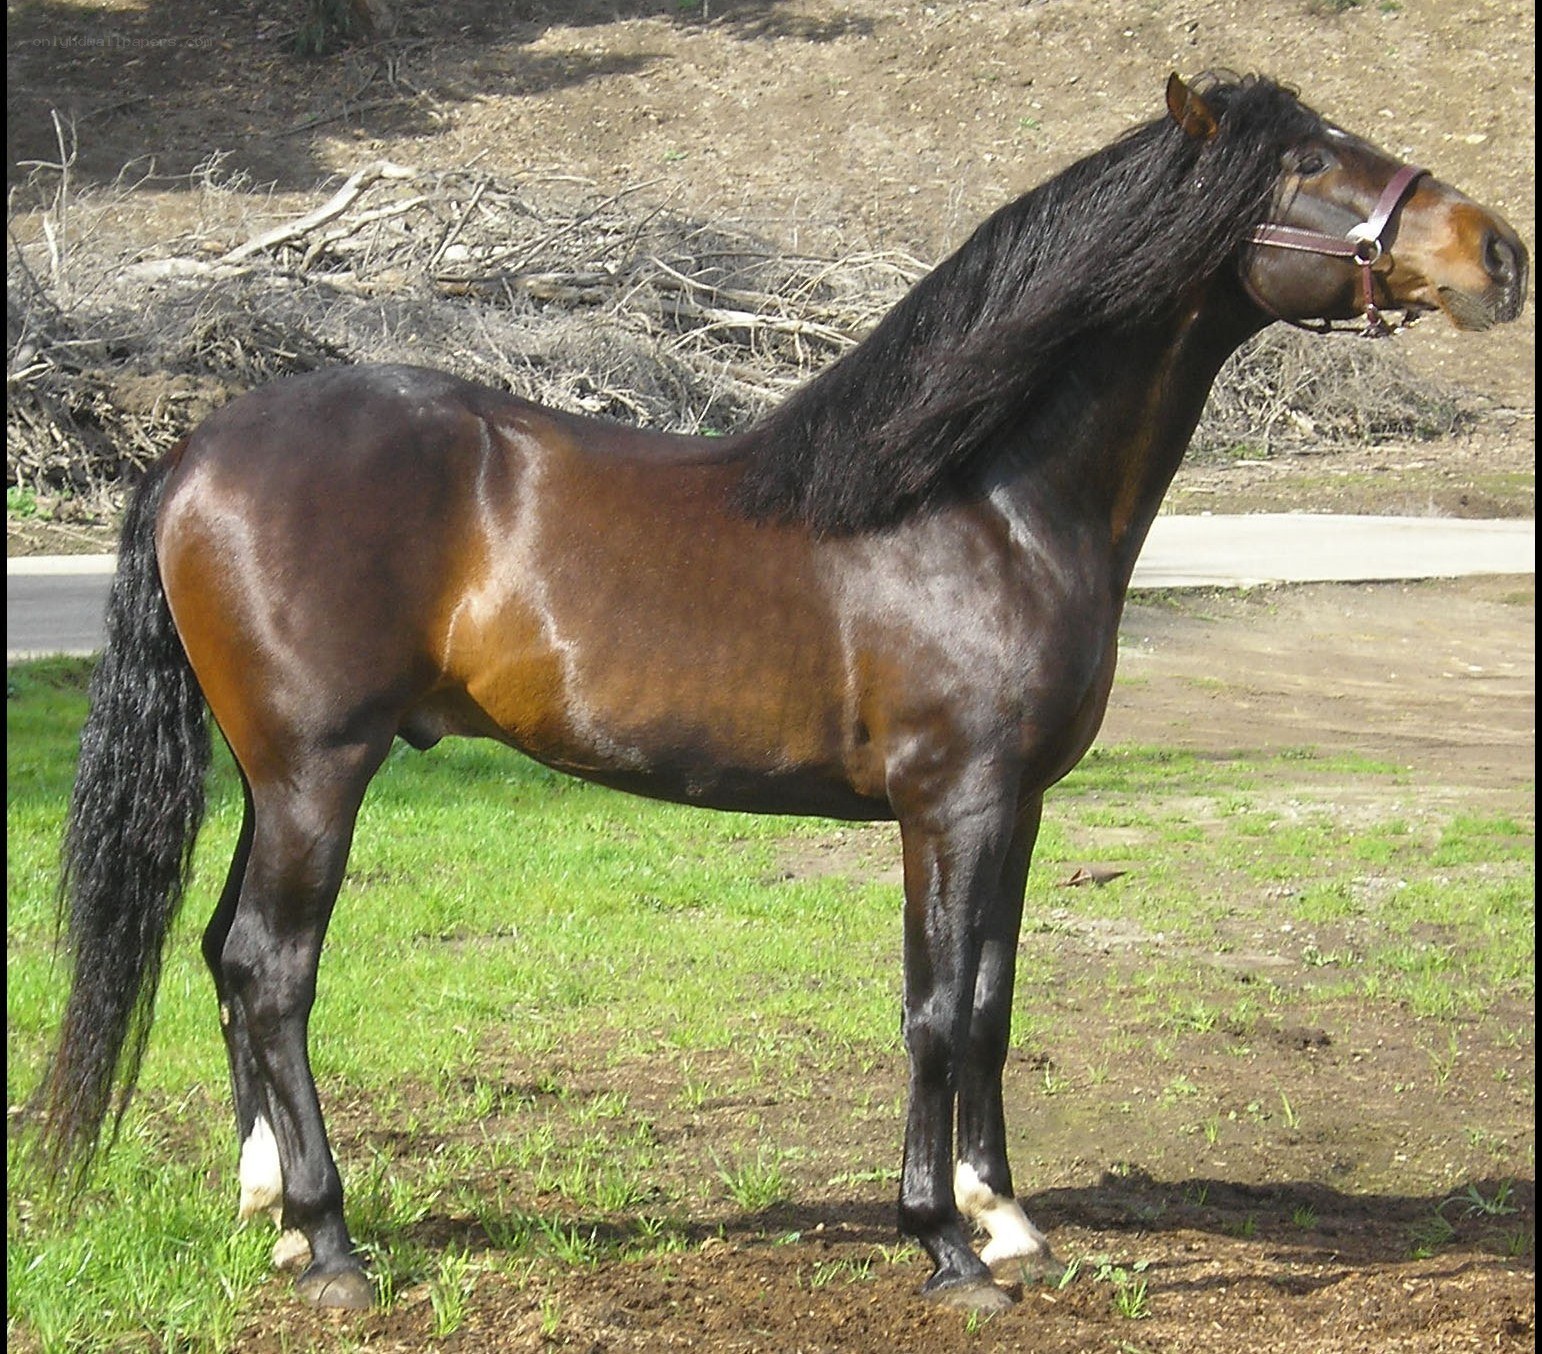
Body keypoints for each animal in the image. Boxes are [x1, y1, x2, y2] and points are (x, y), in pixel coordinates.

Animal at [28, 72, 1527, 1315]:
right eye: (1306, 164)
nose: (1496, 254)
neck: (984, 499)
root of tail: (195, 453)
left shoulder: (1013, 807)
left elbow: (991, 996)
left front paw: (1005, 1219)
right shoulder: (951, 803)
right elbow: (939, 1012)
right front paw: (945, 1249)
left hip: (277, 776)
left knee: (224, 955)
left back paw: (272, 1214)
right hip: (316, 771)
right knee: (272, 970)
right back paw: (333, 1243)